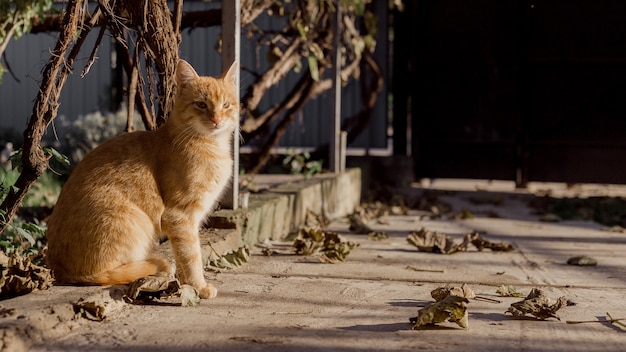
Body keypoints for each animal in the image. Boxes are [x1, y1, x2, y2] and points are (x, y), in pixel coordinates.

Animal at [45, 60, 239, 300]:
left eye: (226, 105)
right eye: (201, 105)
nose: (216, 119)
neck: (212, 146)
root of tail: (57, 269)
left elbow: (183, 257)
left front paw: (186, 285)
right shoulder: (181, 216)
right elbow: (191, 256)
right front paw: (199, 287)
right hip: (132, 220)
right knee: (101, 274)